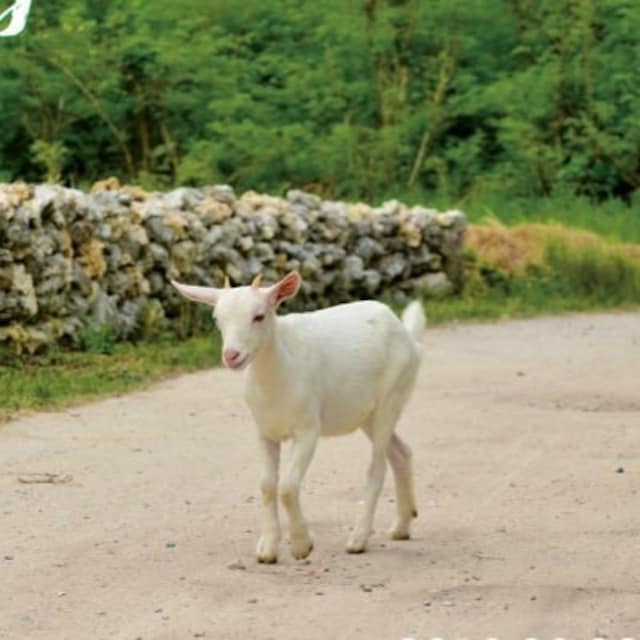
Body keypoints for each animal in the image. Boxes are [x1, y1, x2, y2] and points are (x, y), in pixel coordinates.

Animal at [171, 271, 425, 563]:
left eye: (259, 316)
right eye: (217, 319)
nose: (231, 356)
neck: (278, 373)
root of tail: (407, 335)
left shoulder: (307, 430)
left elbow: (287, 487)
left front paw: (301, 545)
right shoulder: (265, 432)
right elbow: (267, 485)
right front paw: (268, 548)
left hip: (390, 399)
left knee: (378, 468)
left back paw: (358, 539)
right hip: (367, 416)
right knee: (401, 454)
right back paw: (402, 526)